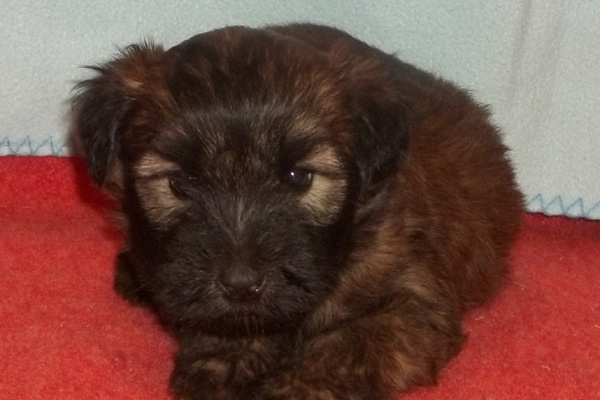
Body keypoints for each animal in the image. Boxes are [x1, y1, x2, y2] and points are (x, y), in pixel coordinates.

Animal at [72, 23, 524, 398]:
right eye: (180, 183)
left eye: (298, 176)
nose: (241, 283)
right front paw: (225, 361)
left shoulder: (414, 305)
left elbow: (344, 345)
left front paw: (286, 387)